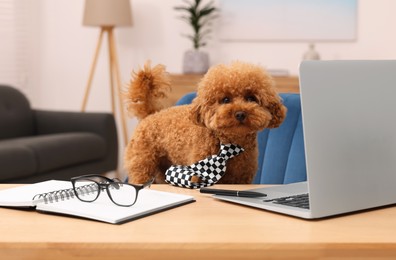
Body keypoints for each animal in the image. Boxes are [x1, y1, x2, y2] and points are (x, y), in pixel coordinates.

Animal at [125, 60, 286, 185]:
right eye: (225, 99)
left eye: (251, 98)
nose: (240, 114)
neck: (228, 143)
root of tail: (151, 114)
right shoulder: (198, 174)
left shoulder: (242, 178)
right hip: (143, 163)